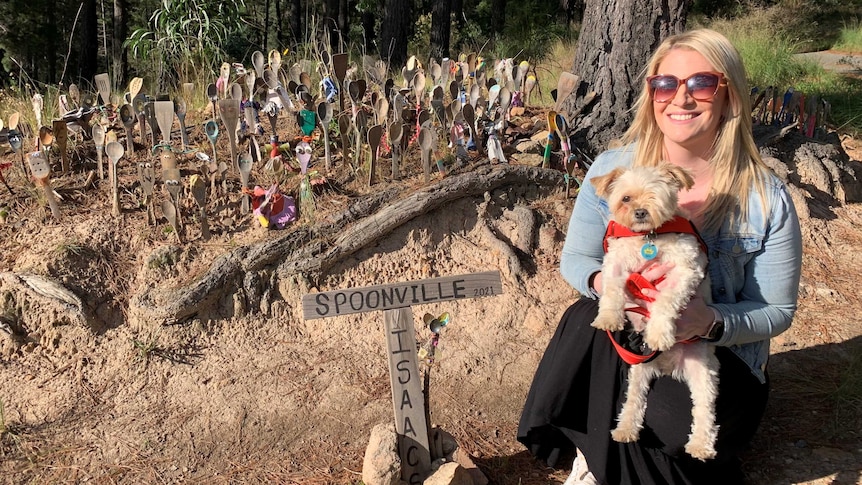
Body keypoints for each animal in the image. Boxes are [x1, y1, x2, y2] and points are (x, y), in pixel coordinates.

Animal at [592, 162, 724, 458]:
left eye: (655, 195)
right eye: (626, 198)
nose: (640, 212)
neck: (648, 237)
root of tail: (667, 365)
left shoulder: (685, 271)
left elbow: (665, 300)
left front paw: (659, 333)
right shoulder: (616, 262)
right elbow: (612, 289)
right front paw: (608, 317)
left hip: (703, 371)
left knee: (705, 411)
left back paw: (701, 445)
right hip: (638, 369)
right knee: (634, 399)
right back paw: (625, 428)